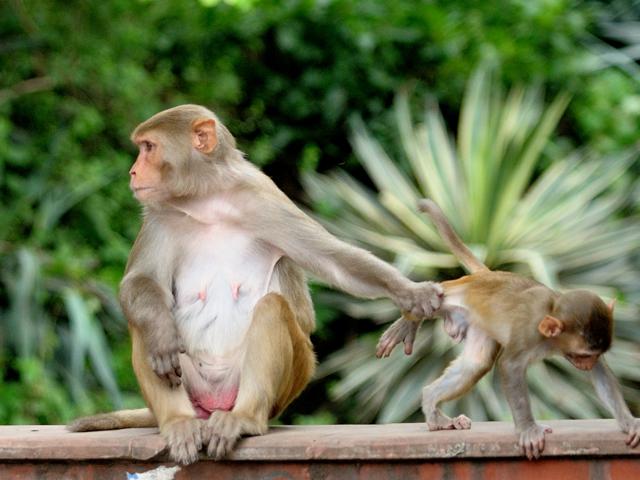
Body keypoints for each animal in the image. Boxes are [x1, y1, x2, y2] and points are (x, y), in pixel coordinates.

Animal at [66, 105, 444, 465]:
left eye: (148, 147)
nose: (133, 172)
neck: (206, 200)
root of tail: (213, 406)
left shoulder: (263, 199)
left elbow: (333, 260)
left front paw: (412, 294)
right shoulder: (158, 214)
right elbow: (140, 281)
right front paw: (160, 334)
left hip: (291, 377)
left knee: (273, 309)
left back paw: (245, 418)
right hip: (194, 387)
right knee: (142, 320)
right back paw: (178, 420)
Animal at [376, 199, 640, 460]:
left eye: (593, 355)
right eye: (584, 355)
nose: (588, 363)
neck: (550, 317)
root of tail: (488, 275)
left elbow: (601, 374)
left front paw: (628, 422)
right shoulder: (527, 332)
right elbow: (510, 366)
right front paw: (528, 430)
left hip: (479, 322)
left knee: (475, 364)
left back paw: (431, 401)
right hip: (458, 294)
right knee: (434, 296)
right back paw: (409, 320)